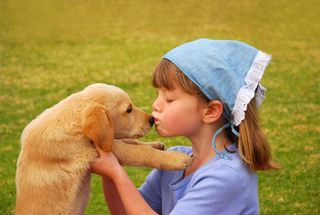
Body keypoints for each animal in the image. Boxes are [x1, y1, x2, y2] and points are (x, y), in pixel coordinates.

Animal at [15, 83, 191, 215]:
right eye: (128, 109)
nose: (152, 120)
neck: (75, 122)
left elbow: (131, 142)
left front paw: (156, 145)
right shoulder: (97, 148)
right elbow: (138, 151)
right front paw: (175, 158)